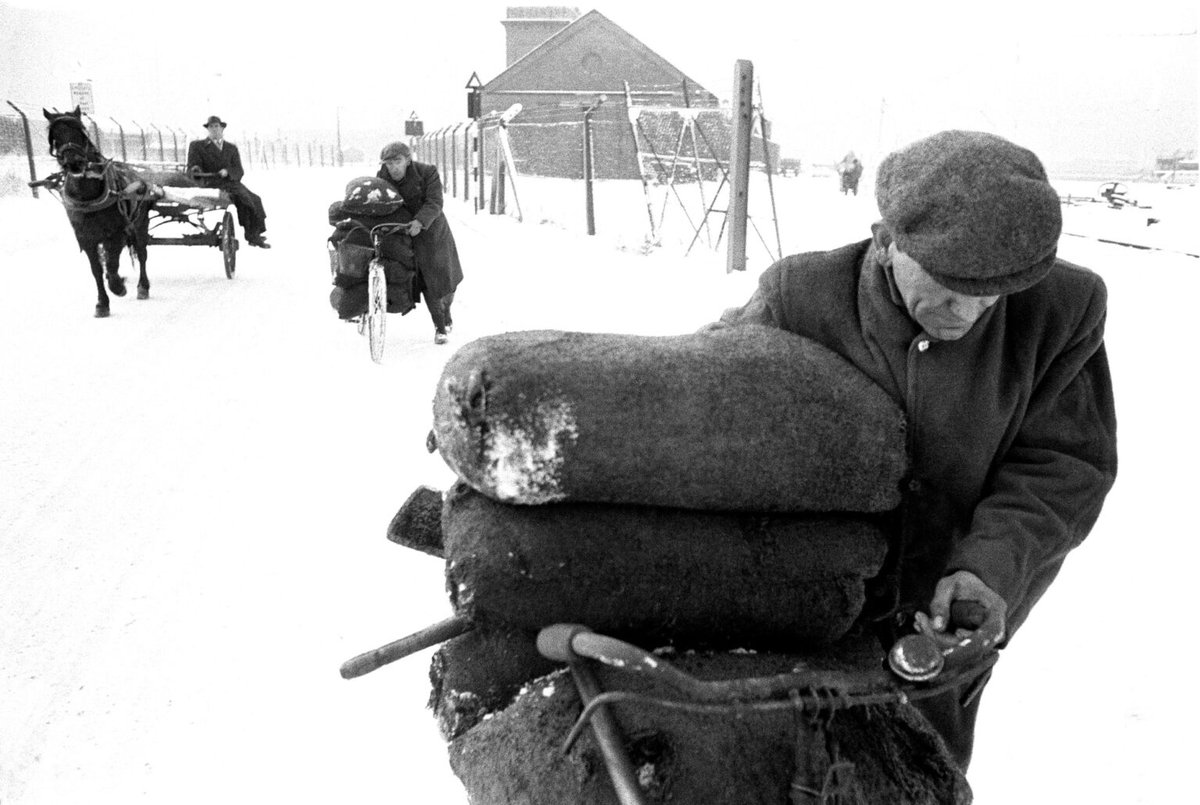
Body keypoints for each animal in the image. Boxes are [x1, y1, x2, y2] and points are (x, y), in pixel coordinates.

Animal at [43, 106, 158, 319]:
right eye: (55, 136)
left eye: (81, 132)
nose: (74, 162)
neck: (87, 197)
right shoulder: (86, 238)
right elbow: (96, 270)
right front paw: (102, 303)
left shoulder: (116, 233)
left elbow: (112, 266)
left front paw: (118, 286)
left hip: (139, 224)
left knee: (141, 253)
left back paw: (142, 287)